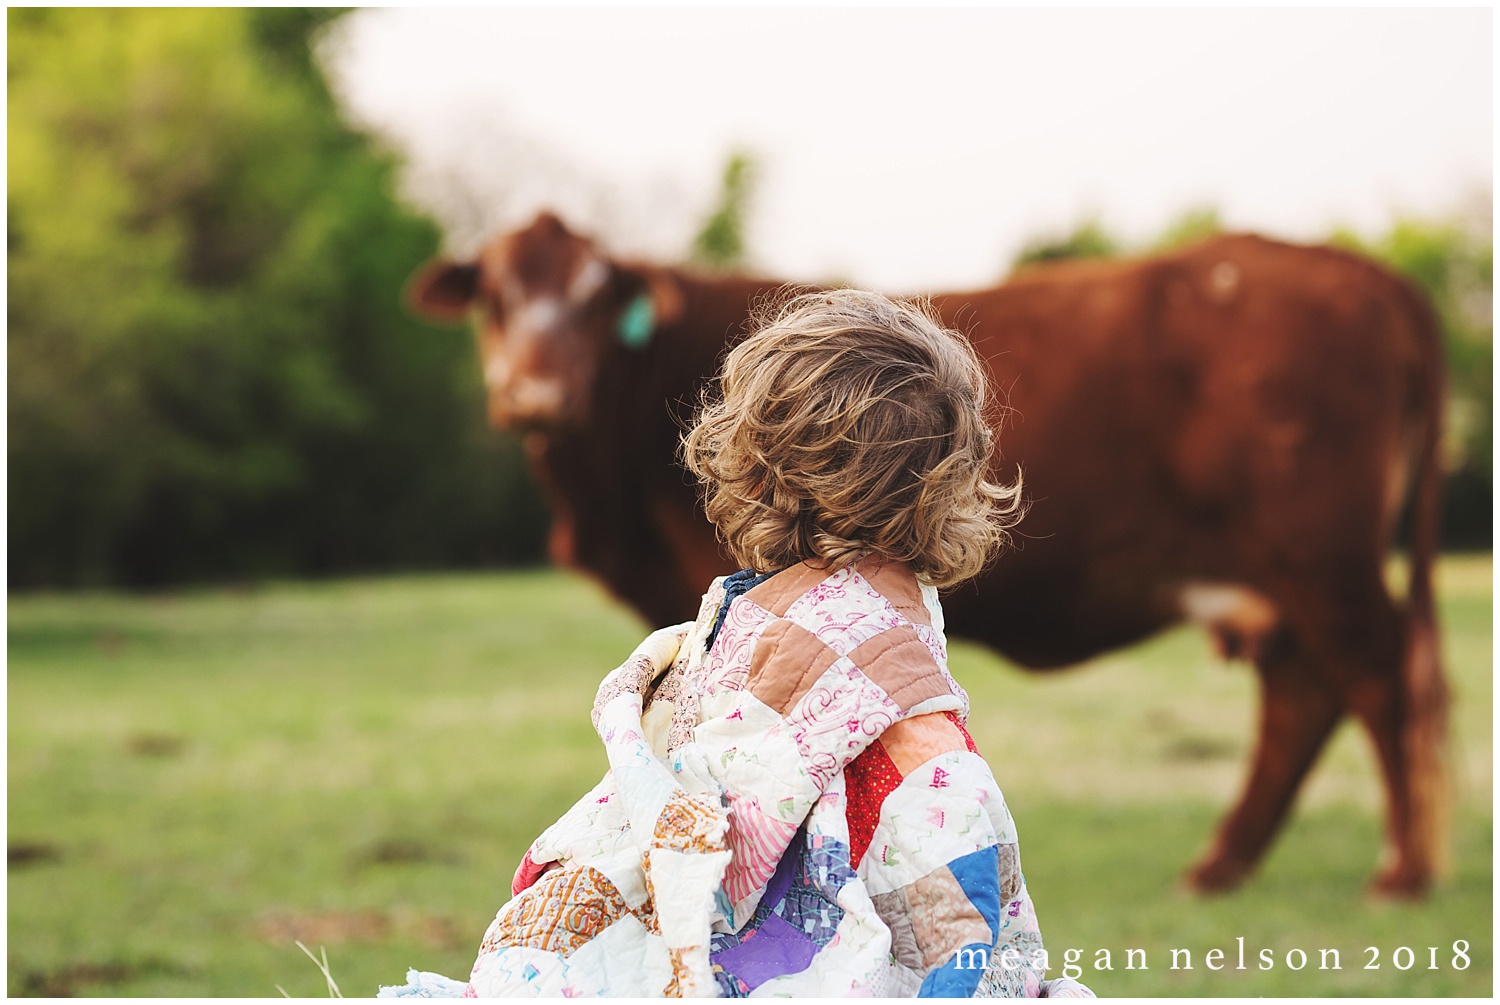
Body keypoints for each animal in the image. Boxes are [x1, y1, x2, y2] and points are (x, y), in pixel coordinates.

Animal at [411, 210, 1440, 900]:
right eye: (496, 296)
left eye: (592, 301)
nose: (534, 393)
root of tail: (1362, 274)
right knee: (1306, 693)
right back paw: (1222, 865)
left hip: (1322, 556)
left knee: (1375, 677)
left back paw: (1399, 870)